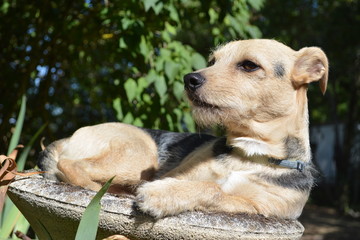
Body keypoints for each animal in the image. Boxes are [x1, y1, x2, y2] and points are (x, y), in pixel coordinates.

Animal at [38, 39, 328, 219]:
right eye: (213, 60)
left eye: (249, 65)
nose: (190, 80)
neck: (249, 153)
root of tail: (68, 138)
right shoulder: (176, 175)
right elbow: (208, 185)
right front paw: (162, 192)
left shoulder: (263, 208)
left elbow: (215, 190)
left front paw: (161, 196)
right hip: (138, 155)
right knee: (71, 166)